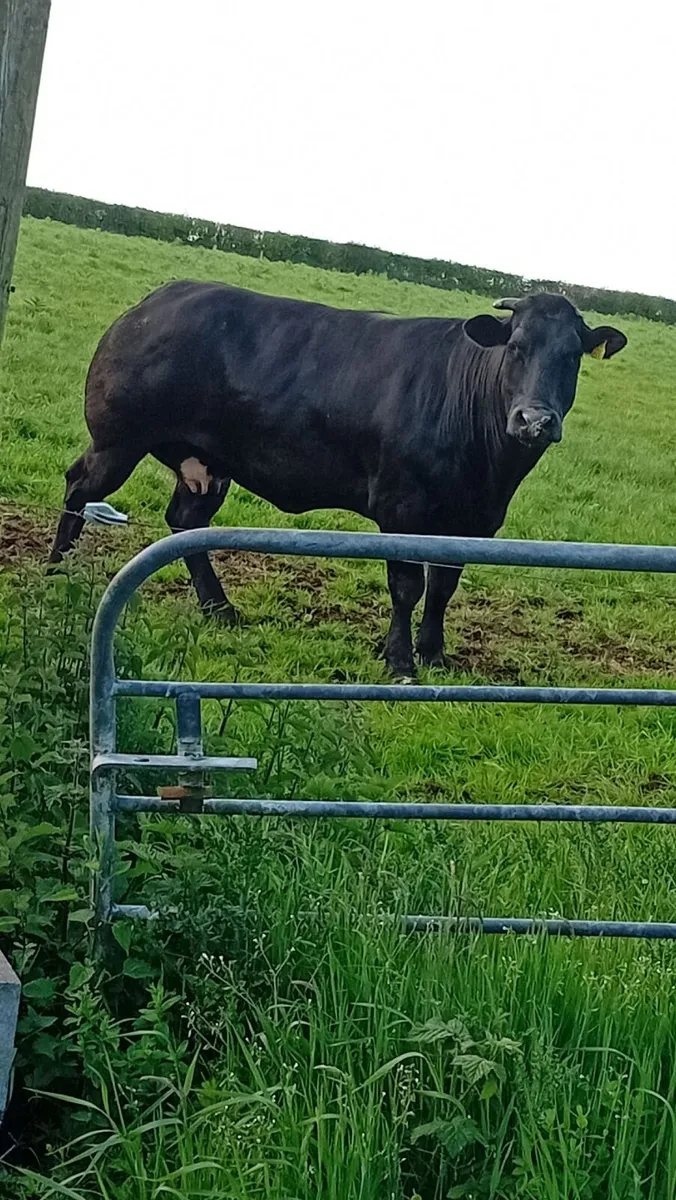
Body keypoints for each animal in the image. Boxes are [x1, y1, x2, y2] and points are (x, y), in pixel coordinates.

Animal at [49, 284, 627, 678]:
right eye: (516, 347)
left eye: (572, 355)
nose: (535, 420)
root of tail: (158, 300)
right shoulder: (401, 508)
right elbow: (407, 586)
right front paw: (400, 661)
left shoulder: (476, 523)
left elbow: (443, 586)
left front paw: (434, 654)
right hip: (118, 441)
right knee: (80, 487)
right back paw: (55, 571)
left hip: (208, 464)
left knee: (185, 523)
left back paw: (221, 609)